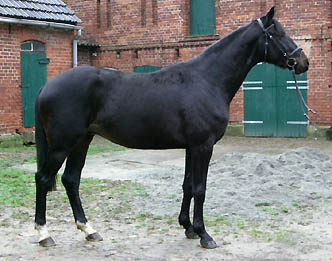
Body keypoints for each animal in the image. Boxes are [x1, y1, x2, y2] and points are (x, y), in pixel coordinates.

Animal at [33, 7, 308, 248]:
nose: (302, 61)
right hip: (62, 145)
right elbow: (200, 188)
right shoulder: (203, 146)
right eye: (279, 33)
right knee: (43, 179)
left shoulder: (190, 147)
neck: (207, 80)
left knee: (71, 180)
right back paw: (44, 234)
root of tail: (46, 86)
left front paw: (188, 227)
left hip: (82, 141)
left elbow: (188, 185)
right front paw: (204, 235)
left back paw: (89, 230)